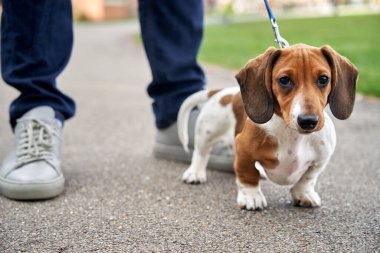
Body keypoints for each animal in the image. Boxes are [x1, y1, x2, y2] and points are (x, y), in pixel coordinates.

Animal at [177, 44, 358, 211]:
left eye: (323, 79)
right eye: (284, 80)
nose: (308, 121)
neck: (291, 133)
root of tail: (225, 93)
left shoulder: (321, 159)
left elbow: (308, 178)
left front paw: (303, 194)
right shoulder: (244, 150)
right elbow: (247, 174)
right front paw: (251, 197)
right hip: (206, 134)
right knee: (201, 154)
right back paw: (195, 173)